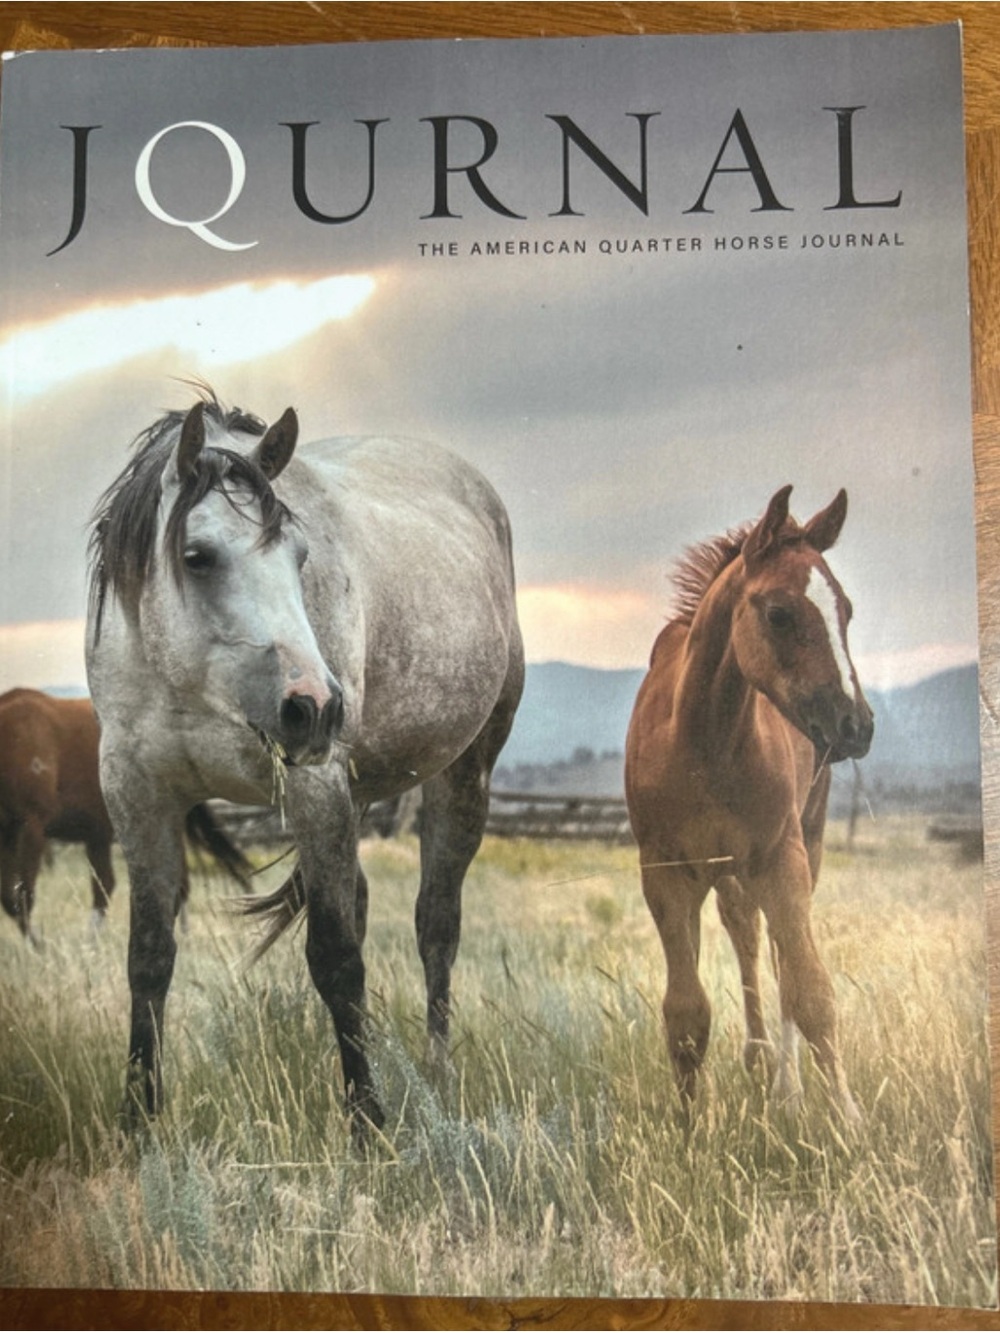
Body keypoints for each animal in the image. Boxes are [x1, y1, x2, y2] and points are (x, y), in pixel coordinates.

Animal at [0, 687, 252, 946]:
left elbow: (24, 895)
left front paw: (38, 946)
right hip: (99, 836)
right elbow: (9, 899)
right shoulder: (7, 835)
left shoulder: (31, 828)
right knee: (110, 886)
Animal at [86, 391, 524, 1140]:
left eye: (299, 556)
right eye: (197, 556)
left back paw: (436, 1075)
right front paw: (137, 1120)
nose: (315, 707)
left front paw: (368, 1124)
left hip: (463, 776)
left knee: (437, 925)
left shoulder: (317, 788)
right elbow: (148, 956)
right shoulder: (137, 794)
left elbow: (336, 958)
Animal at [624, 485, 873, 1121]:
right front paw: (692, 1126)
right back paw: (759, 1062)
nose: (857, 726)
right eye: (779, 613)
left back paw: (786, 1088)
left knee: (781, 957)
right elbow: (686, 1011)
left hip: (807, 840)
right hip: (728, 871)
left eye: (846, 612)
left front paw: (848, 1119)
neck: (704, 740)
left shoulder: (781, 857)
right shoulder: (665, 872)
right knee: (744, 929)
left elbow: (812, 993)